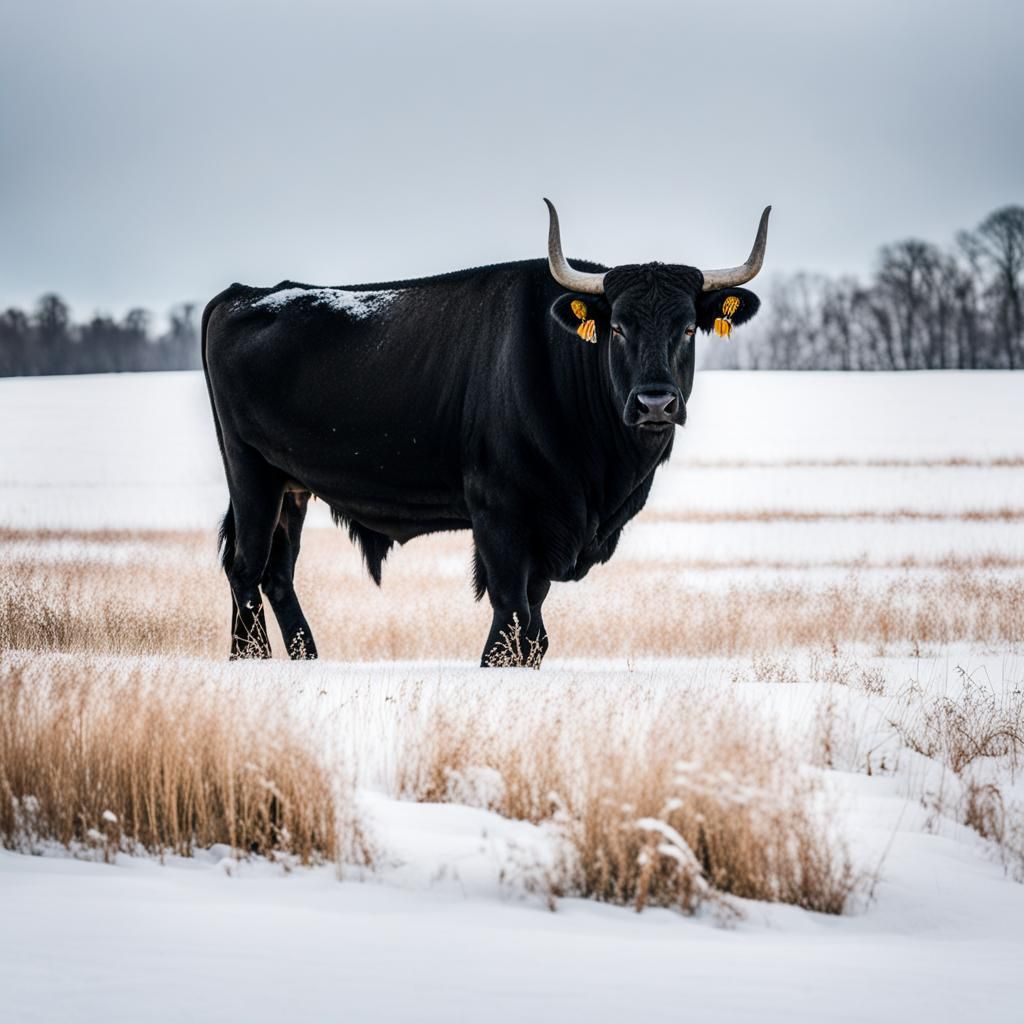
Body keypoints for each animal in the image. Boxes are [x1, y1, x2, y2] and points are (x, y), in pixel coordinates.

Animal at [202, 200, 770, 665]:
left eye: (688, 328)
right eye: (617, 327)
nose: (655, 402)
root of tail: (244, 295)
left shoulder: (547, 536)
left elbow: (533, 632)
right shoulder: (500, 516)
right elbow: (511, 626)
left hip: (290, 488)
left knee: (276, 573)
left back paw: (305, 657)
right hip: (251, 474)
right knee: (246, 567)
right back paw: (250, 658)